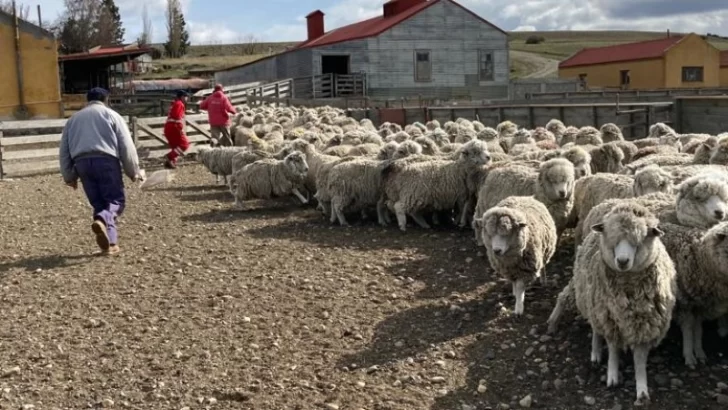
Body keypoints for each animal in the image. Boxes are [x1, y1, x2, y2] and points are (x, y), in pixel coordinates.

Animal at [544, 202, 676, 404]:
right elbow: (613, 349)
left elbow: (639, 360)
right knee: (589, 322)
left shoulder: (645, 325)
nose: (622, 261)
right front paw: (612, 375)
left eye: (641, 238)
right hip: (589, 298)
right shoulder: (610, 319)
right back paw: (594, 350)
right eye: (610, 236)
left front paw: (642, 390)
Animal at [664, 223, 728, 366]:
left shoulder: (700, 305)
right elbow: (688, 330)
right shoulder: (684, 302)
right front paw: (689, 357)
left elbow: (698, 330)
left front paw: (700, 353)